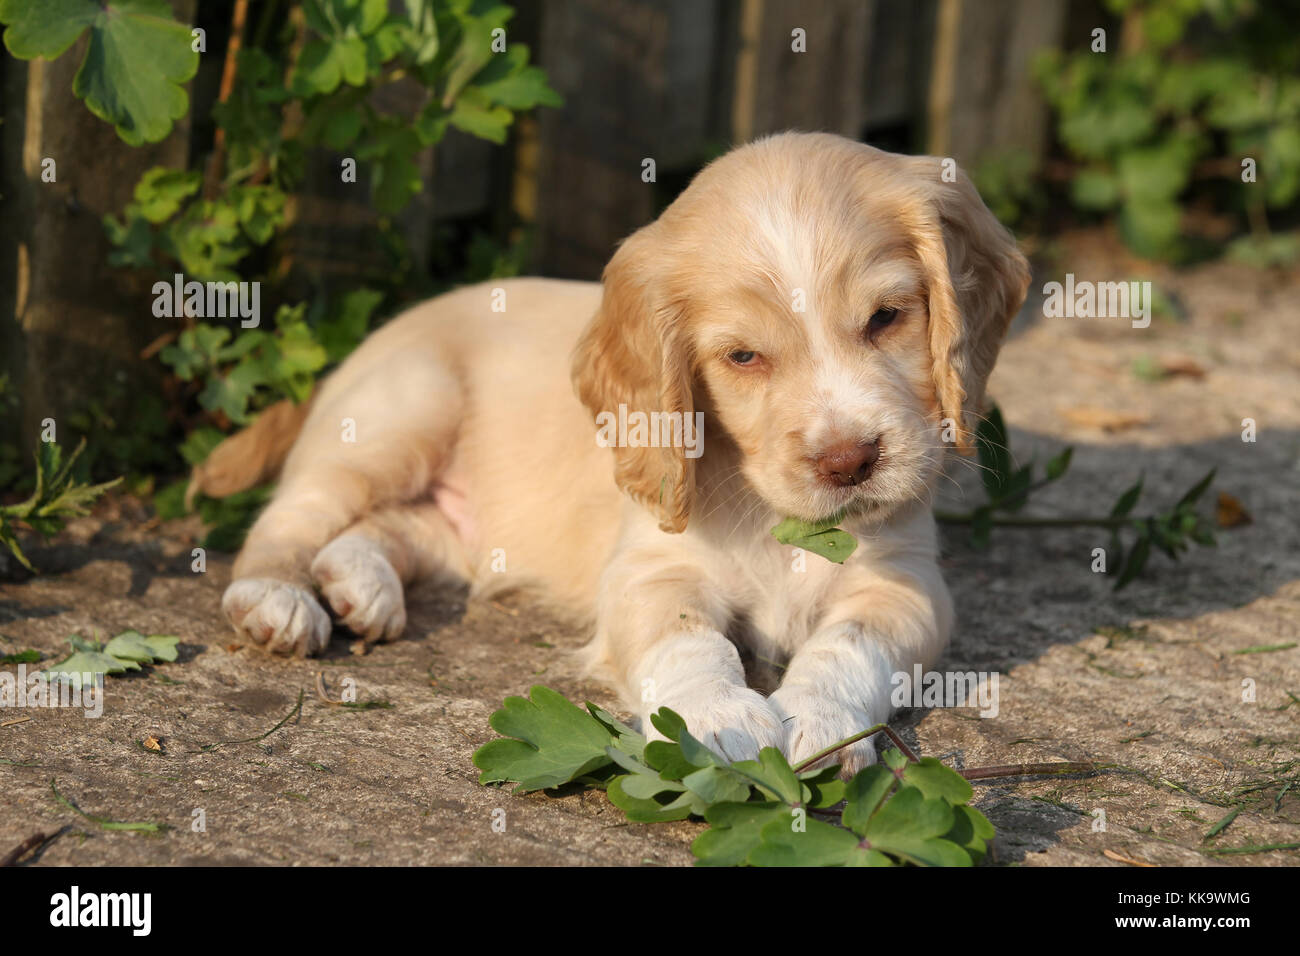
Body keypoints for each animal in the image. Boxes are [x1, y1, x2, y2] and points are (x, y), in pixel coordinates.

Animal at [208, 132, 1029, 770]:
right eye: (743, 358)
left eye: (887, 317)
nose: (849, 462)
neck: (775, 517)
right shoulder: (650, 569)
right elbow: (688, 639)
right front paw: (719, 721)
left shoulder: (905, 583)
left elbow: (850, 644)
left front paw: (823, 721)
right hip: (403, 412)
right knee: (292, 516)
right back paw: (276, 598)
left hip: (462, 528)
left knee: (386, 526)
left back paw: (358, 583)